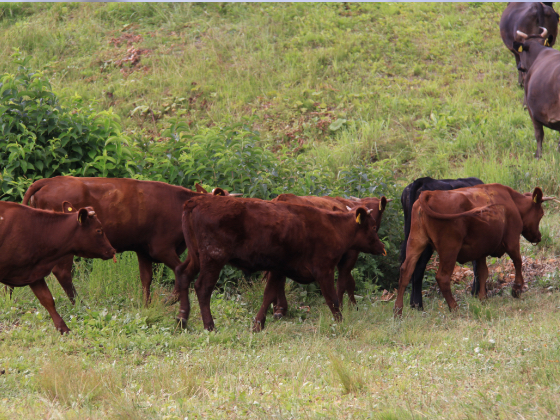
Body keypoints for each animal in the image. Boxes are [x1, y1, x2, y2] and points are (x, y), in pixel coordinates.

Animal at [23, 177, 230, 306]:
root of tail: (50, 180)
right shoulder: (162, 248)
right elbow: (181, 274)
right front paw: (167, 301)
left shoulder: (144, 250)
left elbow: (146, 278)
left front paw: (146, 306)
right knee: (63, 272)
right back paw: (79, 304)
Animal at [174, 196, 384, 332]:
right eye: (373, 227)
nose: (382, 247)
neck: (333, 226)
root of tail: (197, 201)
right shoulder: (323, 269)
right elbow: (333, 299)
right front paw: (341, 323)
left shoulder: (279, 268)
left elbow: (269, 294)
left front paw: (258, 324)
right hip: (213, 258)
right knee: (202, 288)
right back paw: (209, 325)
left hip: (195, 257)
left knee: (182, 274)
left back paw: (182, 319)